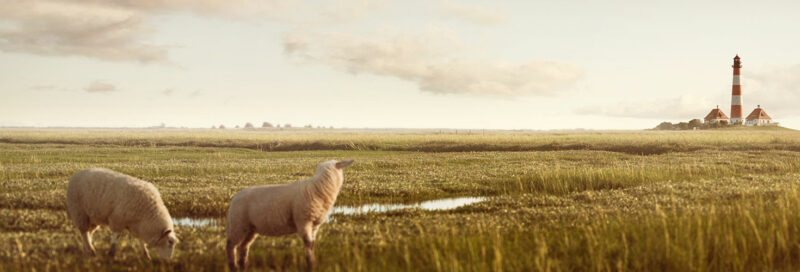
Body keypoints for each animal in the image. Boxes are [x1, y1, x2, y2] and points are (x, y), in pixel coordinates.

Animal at [223, 158, 352, 270]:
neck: (317, 189)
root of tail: (234, 198)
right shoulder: (303, 222)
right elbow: (308, 244)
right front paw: (310, 265)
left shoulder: (314, 225)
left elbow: (312, 244)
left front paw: (313, 263)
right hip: (238, 224)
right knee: (230, 246)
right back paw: (233, 267)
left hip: (251, 228)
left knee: (244, 247)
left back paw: (243, 265)